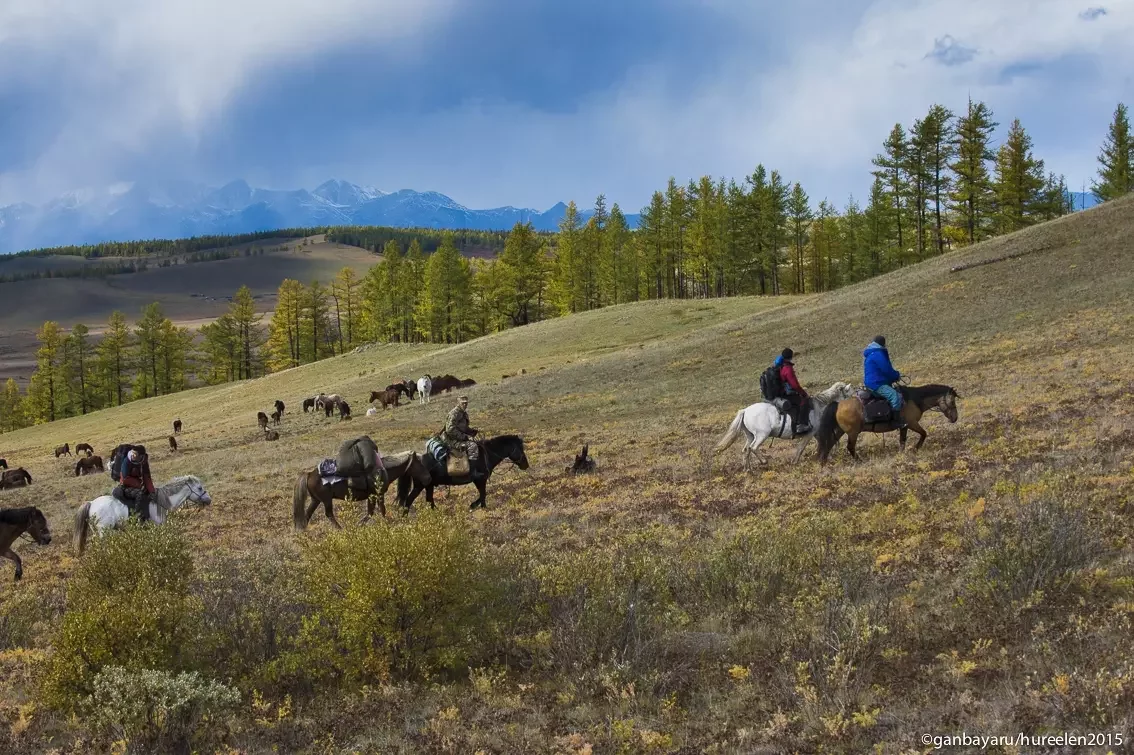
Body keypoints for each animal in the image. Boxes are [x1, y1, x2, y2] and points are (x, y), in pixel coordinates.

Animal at [293, 451, 433, 530]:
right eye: (419, 464)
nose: (429, 478)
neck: (382, 470)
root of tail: (309, 474)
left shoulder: (375, 496)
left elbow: (373, 511)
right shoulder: (376, 495)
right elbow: (377, 511)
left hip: (315, 500)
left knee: (307, 514)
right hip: (326, 500)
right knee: (329, 514)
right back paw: (341, 529)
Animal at [714, 382, 856, 470]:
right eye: (851, 394)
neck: (819, 406)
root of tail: (745, 411)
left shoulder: (815, 433)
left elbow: (826, 442)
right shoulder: (810, 434)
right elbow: (801, 448)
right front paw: (795, 461)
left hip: (750, 436)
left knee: (746, 450)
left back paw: (747, 469)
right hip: (761, 435)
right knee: (753, 448)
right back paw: (763, 462)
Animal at [815, 384, 960, 465]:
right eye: (952, 401)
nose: (955, 418)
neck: (914, 399)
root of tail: (838, 404)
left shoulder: (905, 426)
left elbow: (902, 440)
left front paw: (902, 453)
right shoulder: (911, 423)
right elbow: (923, 434)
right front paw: (915, 448)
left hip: (840, 431)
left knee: (828, 445)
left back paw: (823, 463)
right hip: (853, 432)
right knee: (850, 447)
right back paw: (859, 461)